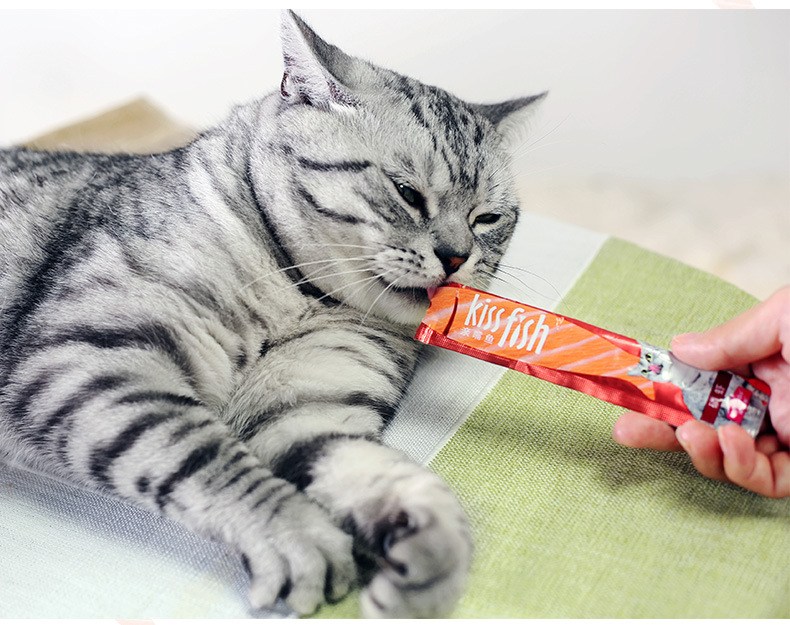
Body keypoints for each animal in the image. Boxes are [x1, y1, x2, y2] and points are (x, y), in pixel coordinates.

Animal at [0, 11, 544, 618]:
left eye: (487, 218)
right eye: (407, 193)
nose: (456, 257)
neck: (300, 298)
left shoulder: (306, 409)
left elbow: (384, 475)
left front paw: (432, 556)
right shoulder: (86, 357)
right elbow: (205, 455)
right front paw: (296, 535)